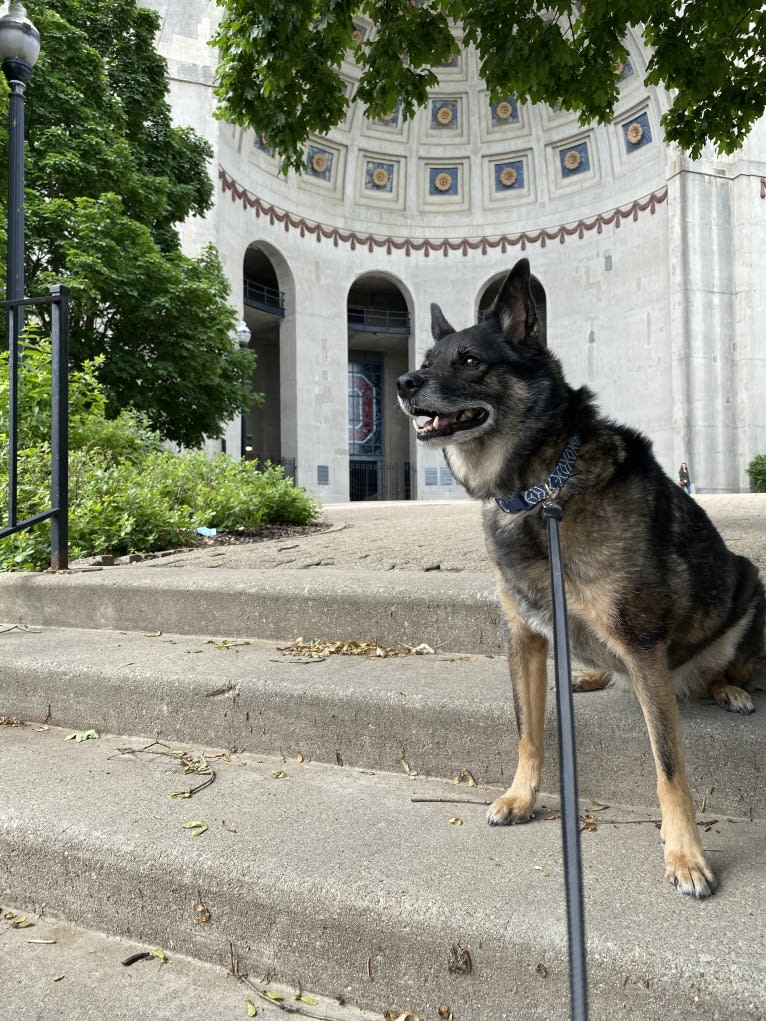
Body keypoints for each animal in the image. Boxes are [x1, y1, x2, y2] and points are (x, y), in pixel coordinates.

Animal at [398, 259, 763, 898]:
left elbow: (669, 764)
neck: (542, 489)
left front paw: (685, 855)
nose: (403, 383)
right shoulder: (524, 636)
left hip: (748, 586)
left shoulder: (642, 645)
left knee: (723, 669)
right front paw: (521, 797)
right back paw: (585, 676)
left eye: (469, 360)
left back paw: (730, 690)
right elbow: (527, 728)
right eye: (428, 357)